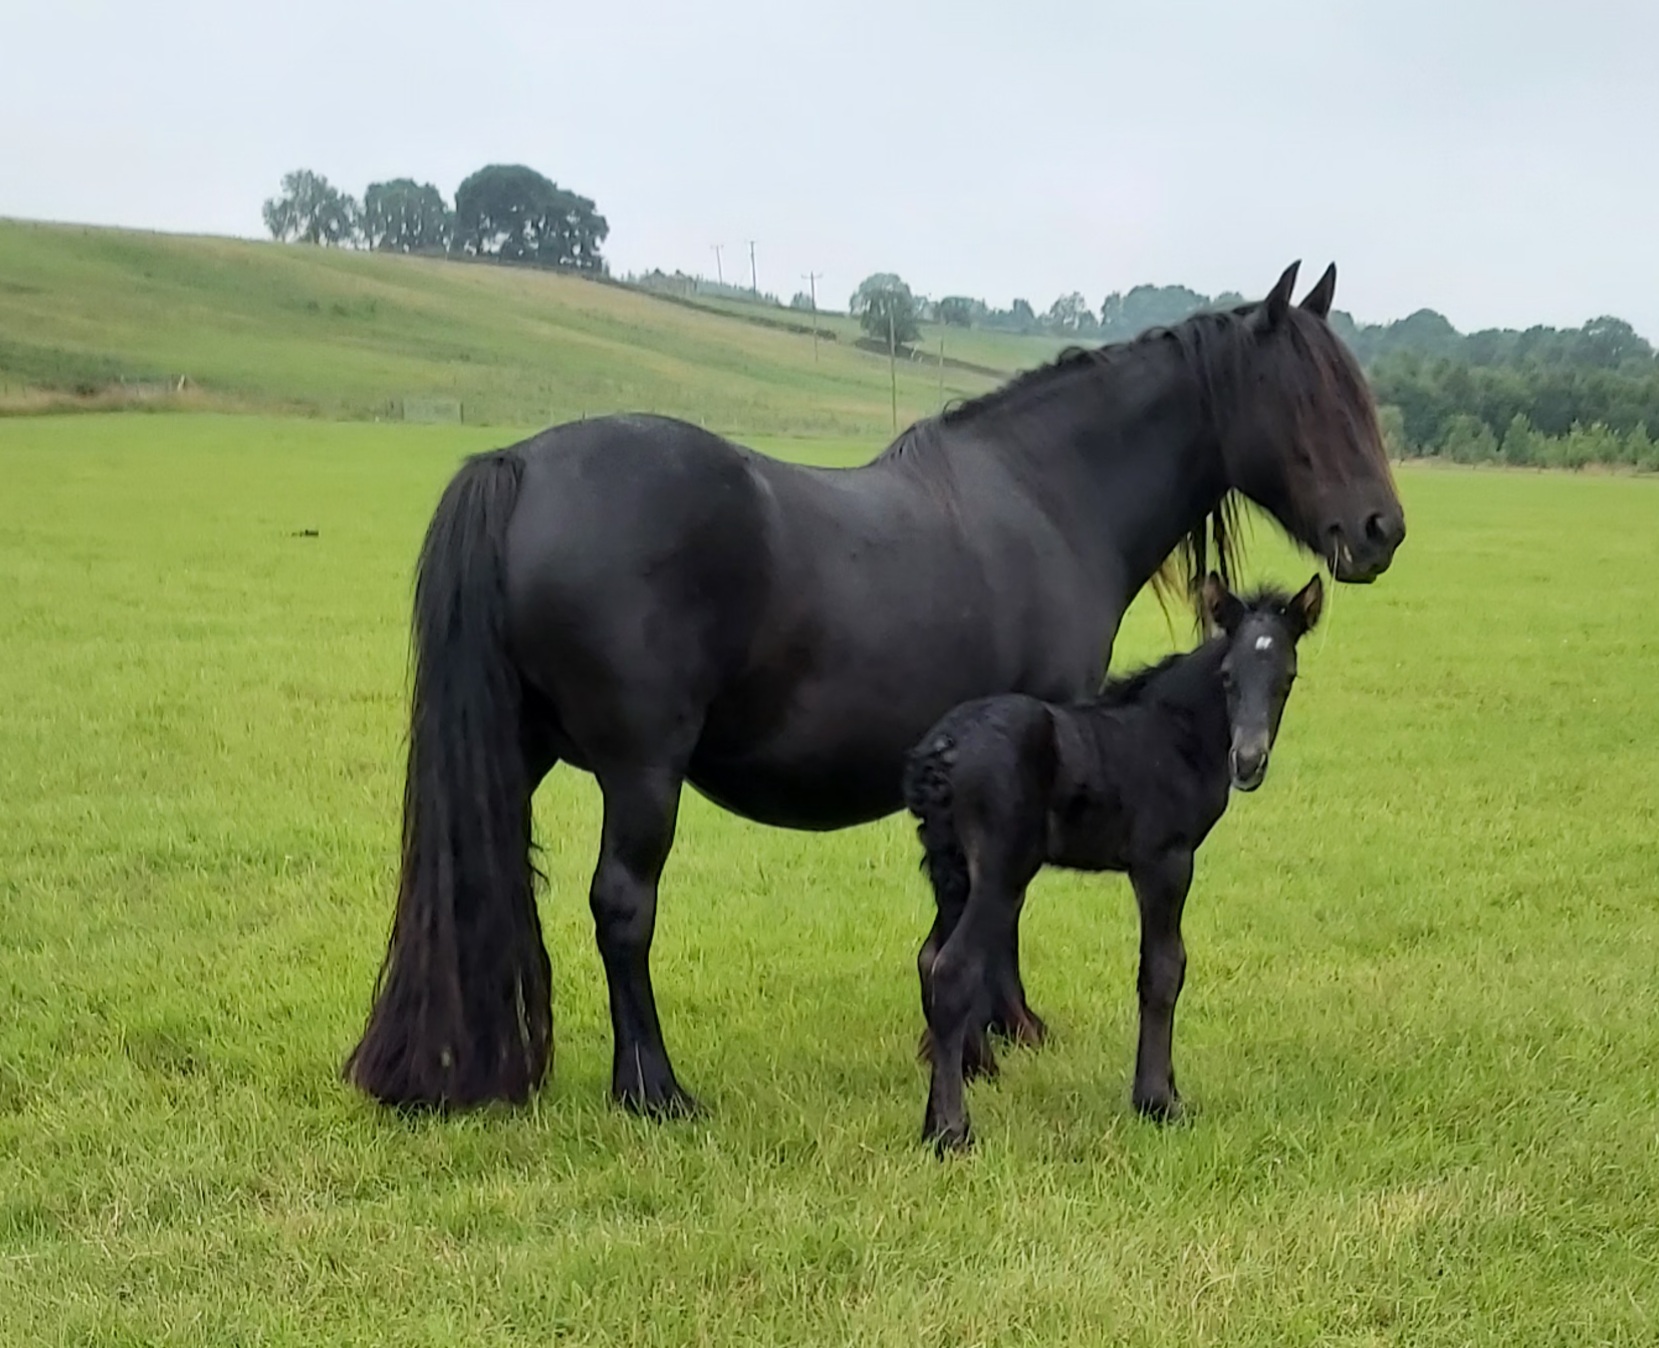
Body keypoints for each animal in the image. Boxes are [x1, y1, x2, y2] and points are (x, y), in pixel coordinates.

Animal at [909, 567, 1320, 1147]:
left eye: (1286, 676)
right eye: (1227, 677)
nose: (1248, 761)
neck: (1174, 733)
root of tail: (942, 747)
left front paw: (1167, 1089)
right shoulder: (1165, 861)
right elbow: (1164, 969)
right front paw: (1157, 1101)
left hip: (950, 870)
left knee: (929, 959)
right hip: (1000, 872)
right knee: (952, 968)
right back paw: (951, 1131)